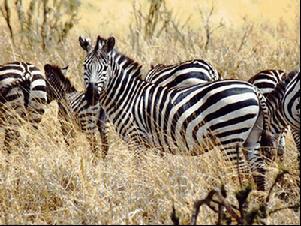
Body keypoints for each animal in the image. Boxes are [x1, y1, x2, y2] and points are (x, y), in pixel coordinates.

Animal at [78, 35, 274, 191]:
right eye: (85, 67)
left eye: (104, 68)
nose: (91, 95)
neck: (127, 96)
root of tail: (254, 90)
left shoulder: (136, 139)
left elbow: (139, 170)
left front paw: (140, 191)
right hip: (251, 137)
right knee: (258, 170)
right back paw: (259, 204)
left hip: (230, 136)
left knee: (241, 171)